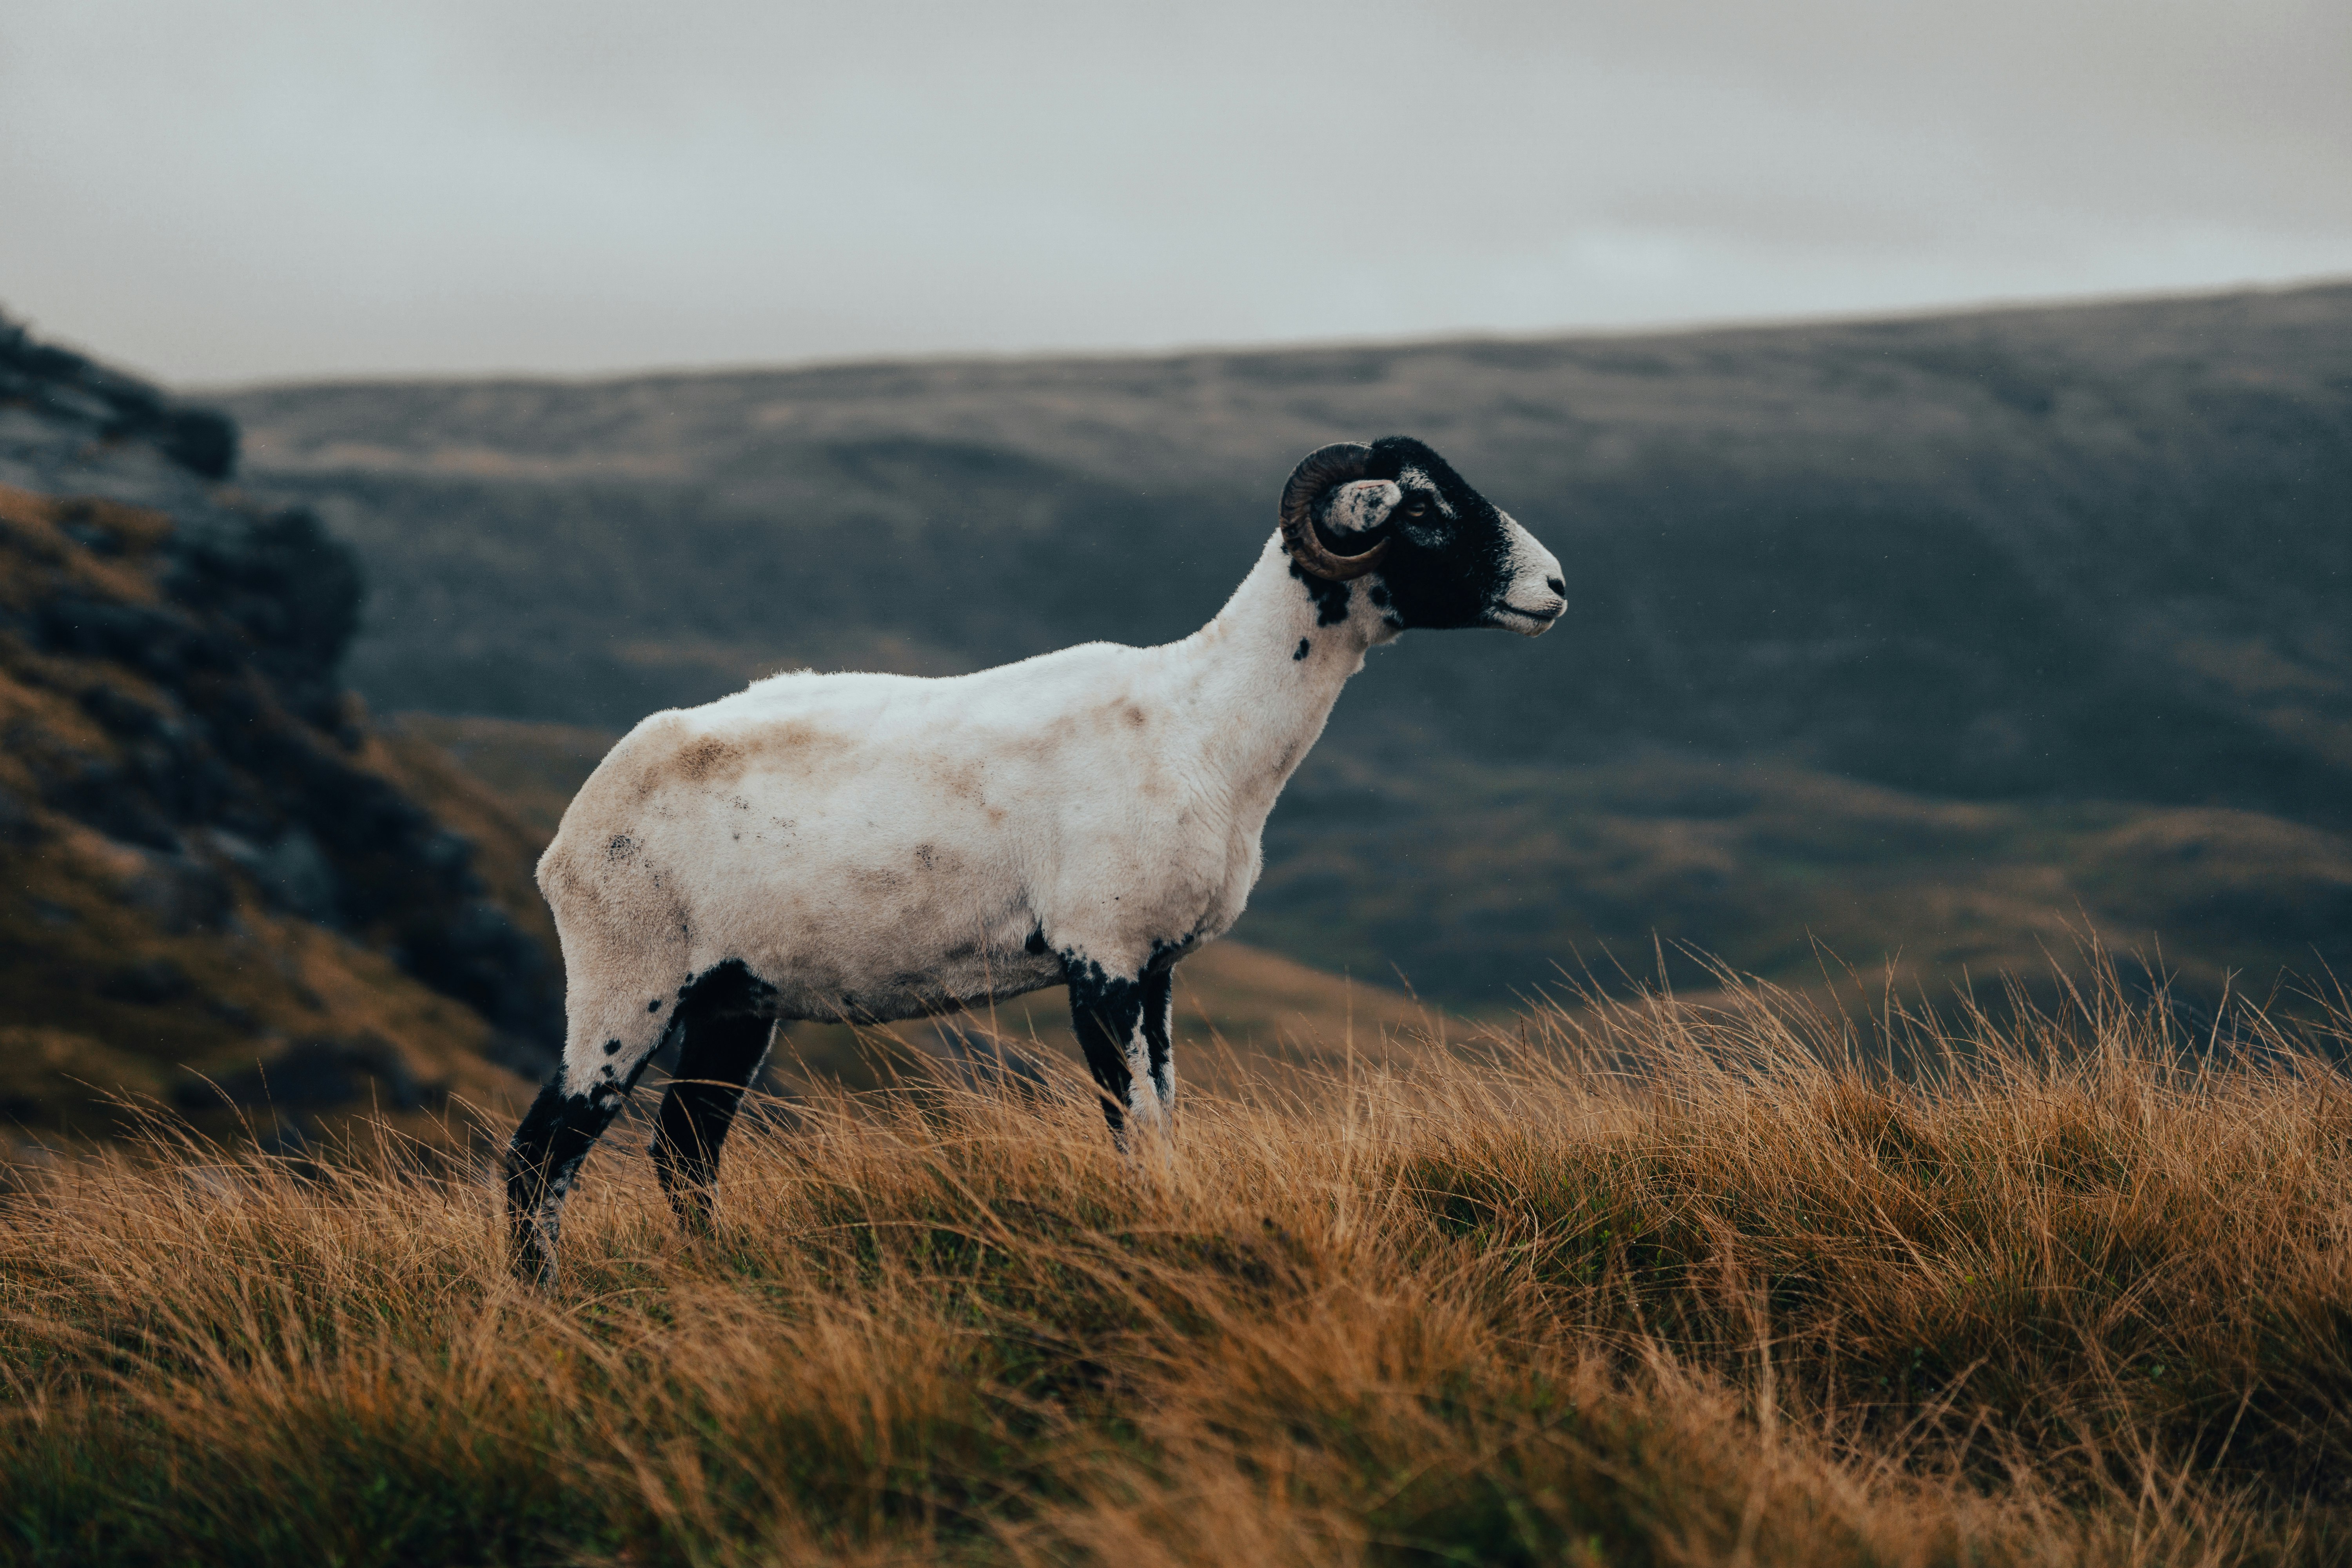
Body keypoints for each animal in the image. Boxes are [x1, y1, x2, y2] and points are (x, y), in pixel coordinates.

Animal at [508, 435, 1571, 1279]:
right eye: (1422, 508)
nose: (1557, 587)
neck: (1206, 720)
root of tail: (572, 831)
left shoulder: (1157, 965)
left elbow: (1165, 1120)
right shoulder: (1100, 953)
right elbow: (1133, 1128)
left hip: (735, 997)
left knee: (686, 1149)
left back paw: (717, 1279)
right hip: (627, 976)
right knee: (541, 1153)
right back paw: (538, 1305)